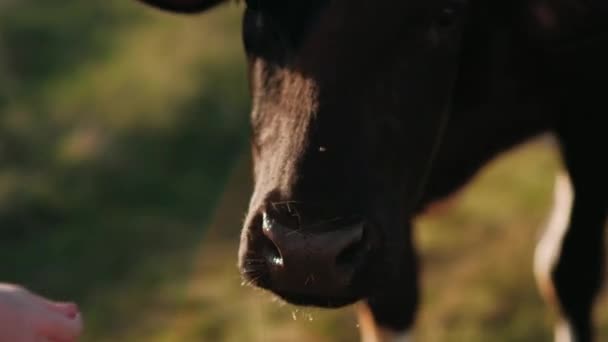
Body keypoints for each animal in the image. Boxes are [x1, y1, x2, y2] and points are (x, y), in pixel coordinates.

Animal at [138, 1, 608, 340]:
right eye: (257, 9)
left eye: (444, 12)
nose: (307, 253)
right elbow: (392, 304)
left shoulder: (587, 116)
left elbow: (570, 273)